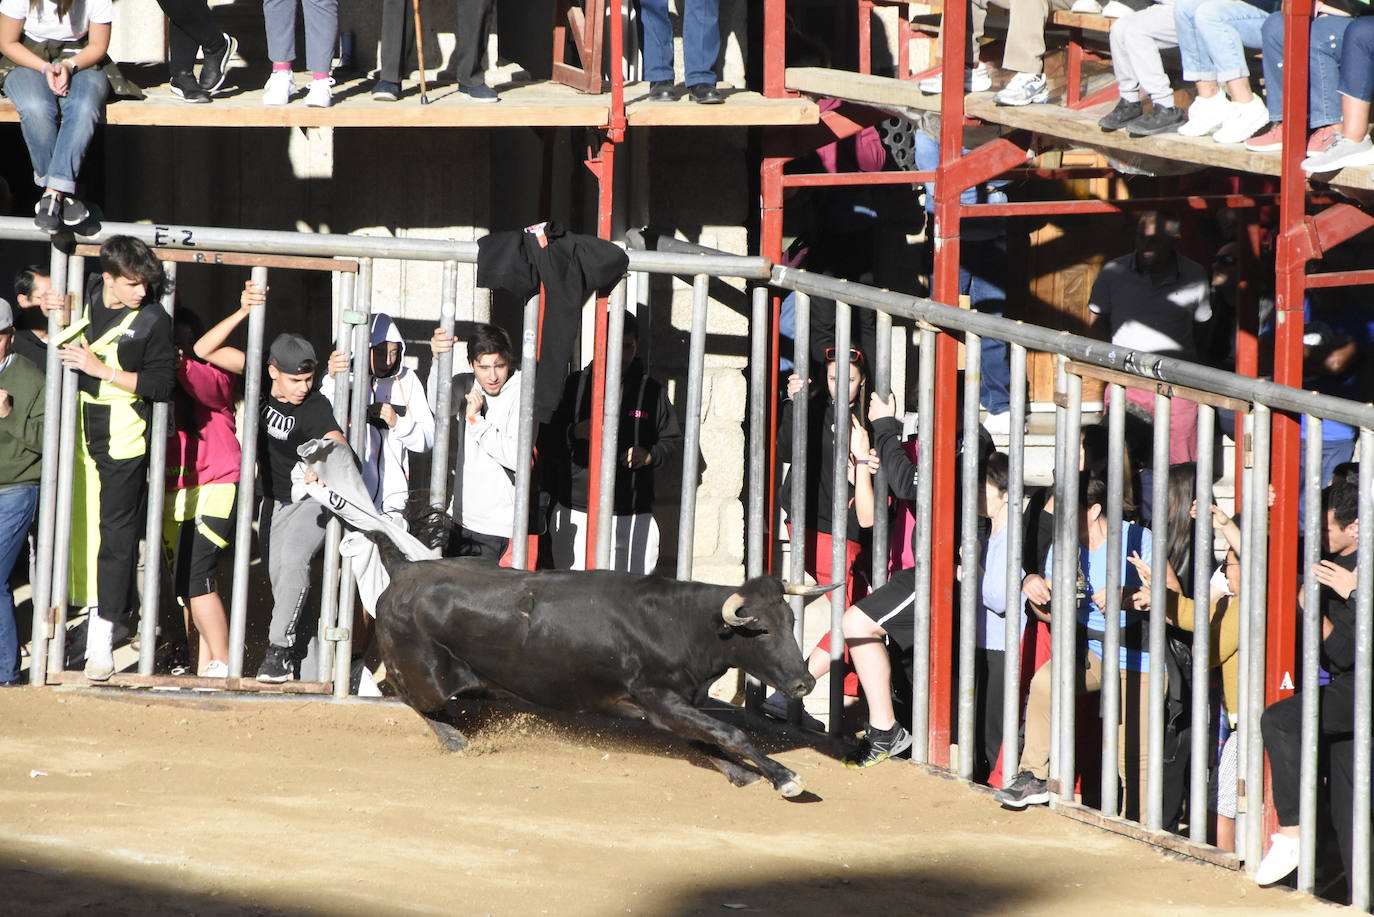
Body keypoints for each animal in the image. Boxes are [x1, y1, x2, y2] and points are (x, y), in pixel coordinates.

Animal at [370, 555, 829, 797]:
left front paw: (743, 774)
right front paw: (784, 778)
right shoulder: (659, 699)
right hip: (427, 678)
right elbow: (729, 733)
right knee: (399, 692)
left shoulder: (675, 705)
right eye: (761, 629)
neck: (679, 622)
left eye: (791, 620)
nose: (804, 684)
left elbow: (708, 738)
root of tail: (403, 569)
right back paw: (455, 740)